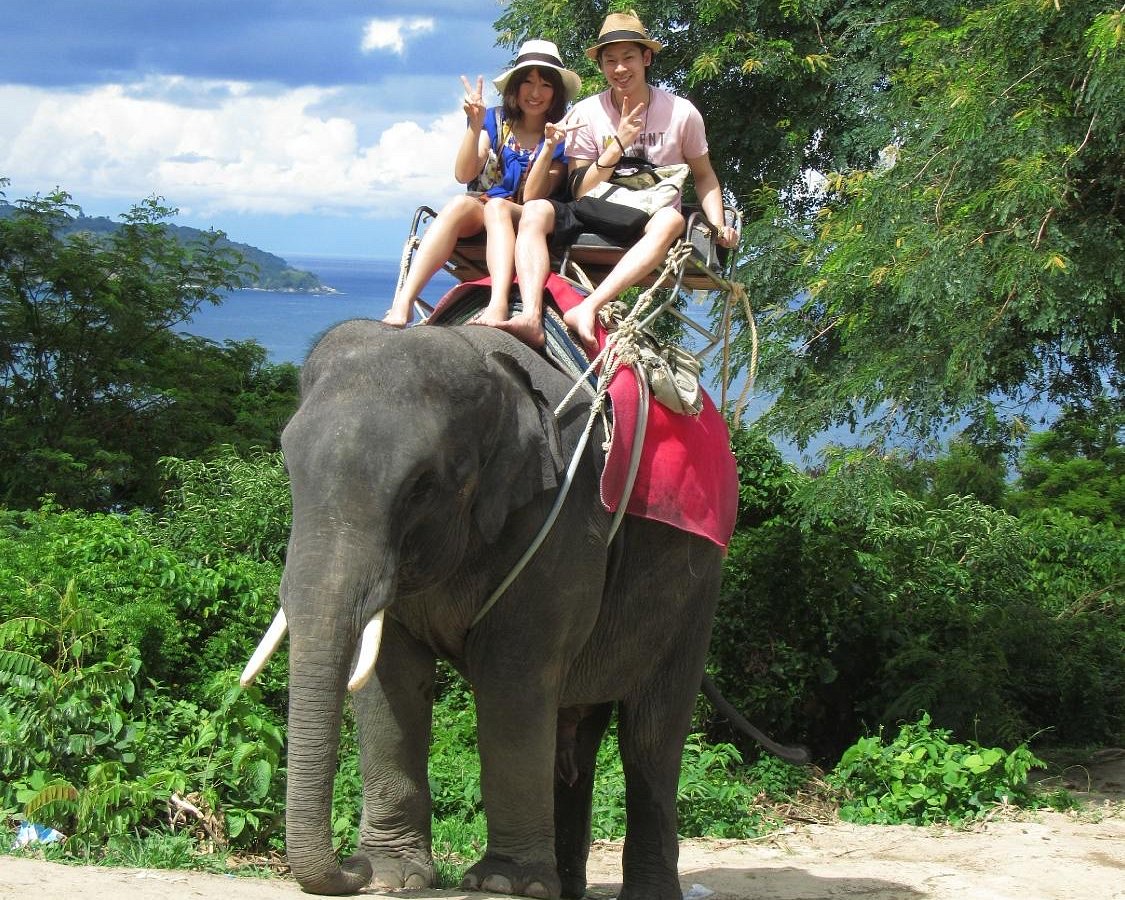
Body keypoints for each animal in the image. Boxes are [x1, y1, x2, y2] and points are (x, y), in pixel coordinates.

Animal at [241, 310, 751, 899]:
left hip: (697, 594)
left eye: (422, 487)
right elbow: (390, 678)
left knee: (649, 741)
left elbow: (513, 676)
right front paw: (393, 876)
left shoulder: (563, 514)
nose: (353, 871)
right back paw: (562, 887)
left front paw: (502, 882)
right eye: (289, 466)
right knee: (574, 739)